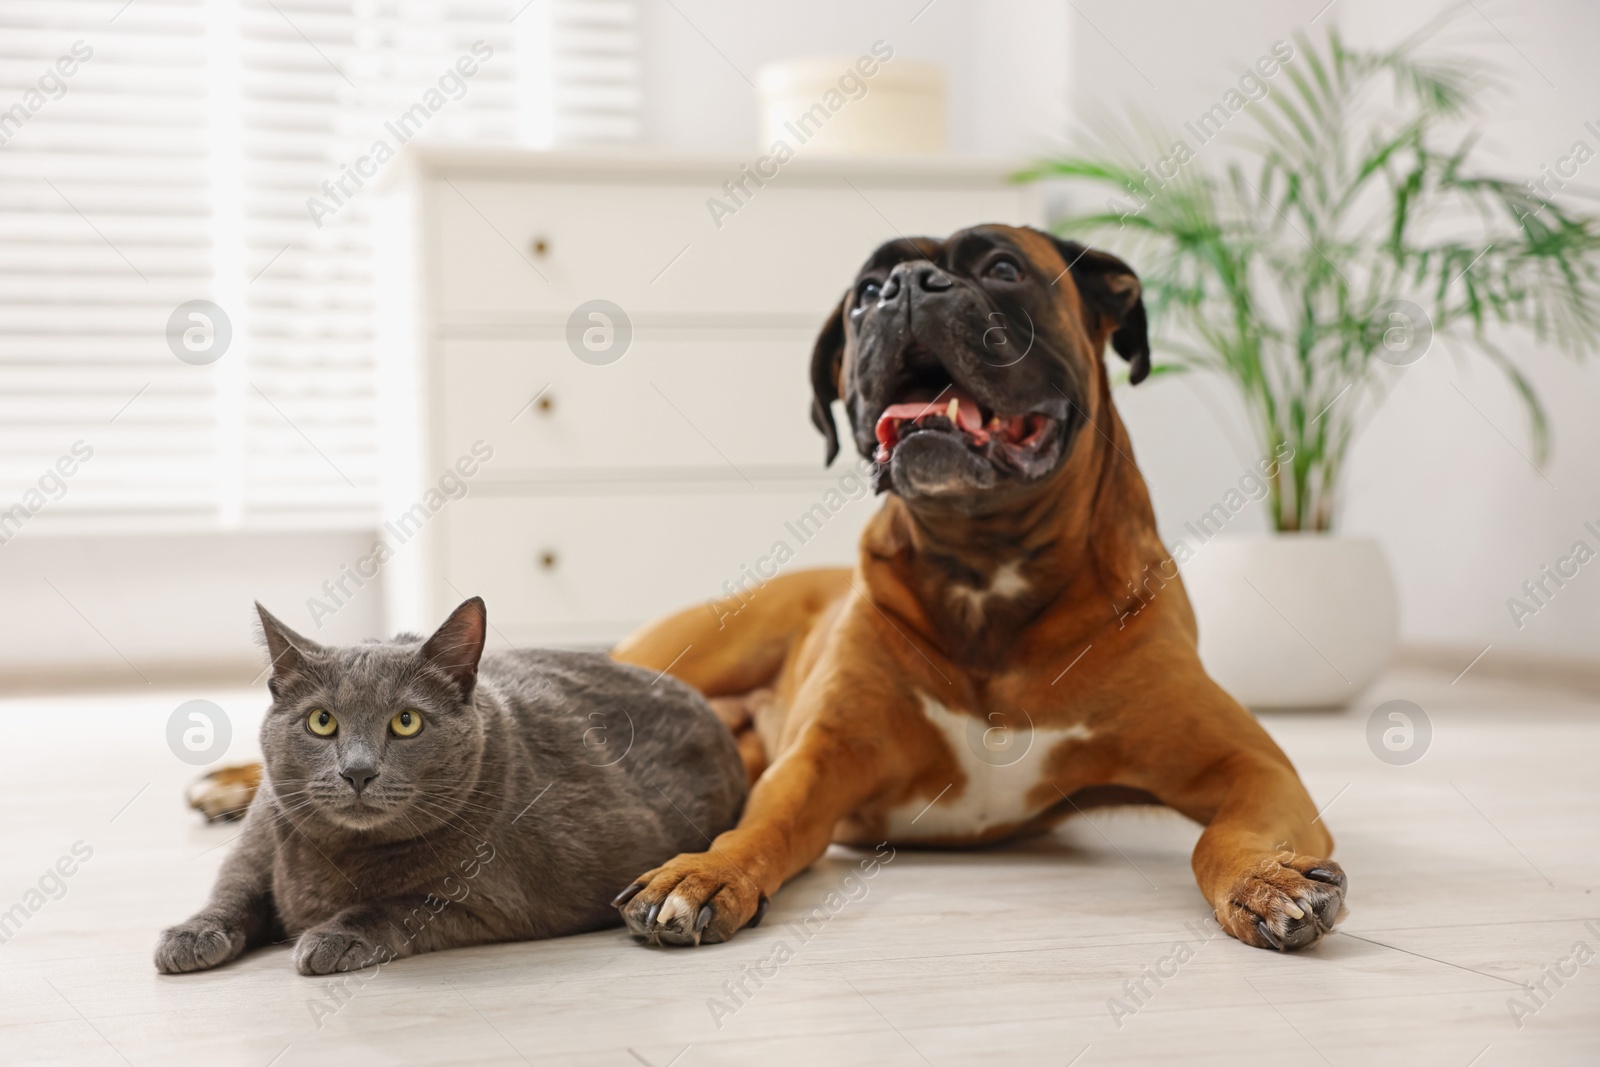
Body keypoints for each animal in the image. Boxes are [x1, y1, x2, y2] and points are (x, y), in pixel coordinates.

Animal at [152, 591, 745, 979]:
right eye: (321, 722)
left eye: (405, 722)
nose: (358, 771)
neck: (336, 853)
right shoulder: (259, 841)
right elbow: (234, 887)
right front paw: (190, 934)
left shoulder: (487, 902)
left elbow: (397, 905)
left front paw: (335, 936)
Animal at [604, 223, 1344, 953]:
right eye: (866, 291)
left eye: (1003, 269)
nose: (904, 287)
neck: (985, 564)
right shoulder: (818, 759)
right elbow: (765, 822)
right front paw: (705, 870)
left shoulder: (1249, 765)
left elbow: (1226, 833)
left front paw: (1263, 876)